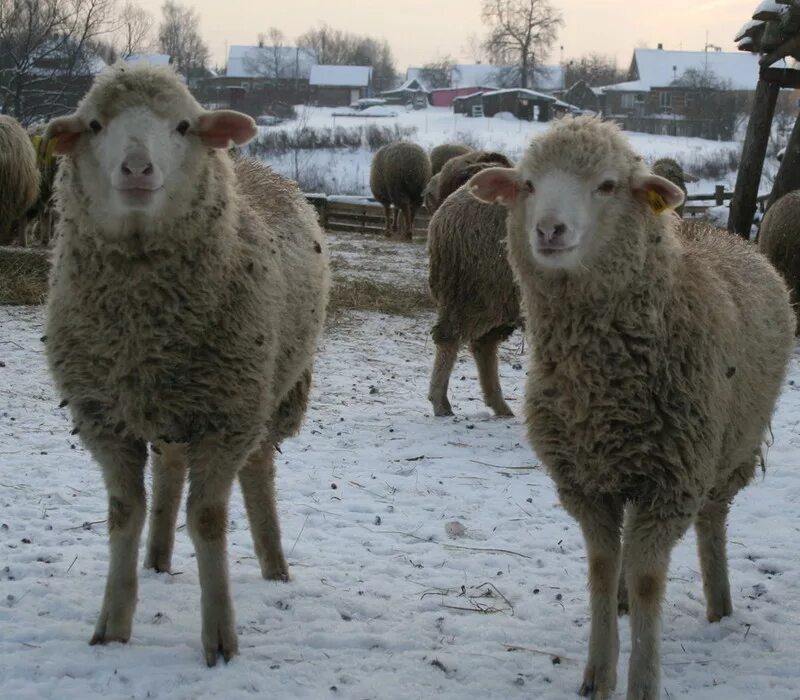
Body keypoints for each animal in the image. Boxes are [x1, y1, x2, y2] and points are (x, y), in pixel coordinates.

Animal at [43, 64, 332, 668]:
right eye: (95, 124)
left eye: (182, 125)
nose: (136, 168)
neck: (145, 331)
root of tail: (253, 164)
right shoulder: (105, 419)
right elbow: (123, 513)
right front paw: (113, 625)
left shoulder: (226, 418)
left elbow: (208, 520)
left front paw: (220, 637)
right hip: (172, 405)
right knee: (170, 467)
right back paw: (156, 557)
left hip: (268, 393)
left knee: (258, 472)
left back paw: (274, 565)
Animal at [428, 153, 520, 416]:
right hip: (476, 290)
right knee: (451, 339)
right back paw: (441, 402)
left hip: (499, 297)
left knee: (483, 344)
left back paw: (500, 406)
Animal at [468, 116, 792, 700]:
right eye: (527, 185)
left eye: (607, 185)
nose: (549, 230)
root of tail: (721, 232)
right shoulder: (585, 481)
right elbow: (602, 567)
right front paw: (598, 673)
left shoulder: (671, 482)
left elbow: (647, 582)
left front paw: (642, 681)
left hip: (730, 451)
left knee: (712, 521)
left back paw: (720, 604)